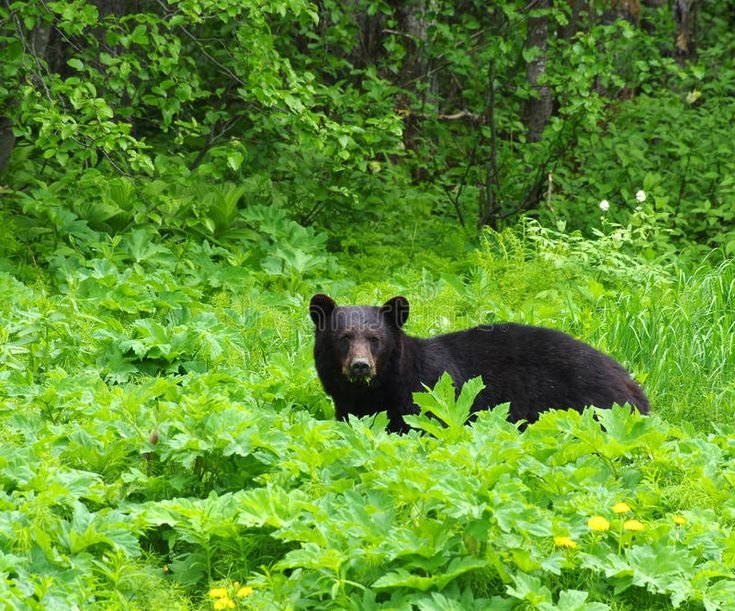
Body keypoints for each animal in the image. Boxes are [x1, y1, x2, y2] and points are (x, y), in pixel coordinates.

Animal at [310, 294, 648, 432]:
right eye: (343, 337)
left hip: (591, 407)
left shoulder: (427, 398)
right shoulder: (350, 407)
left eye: (375, 338)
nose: (360, 366)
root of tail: (633, 385)